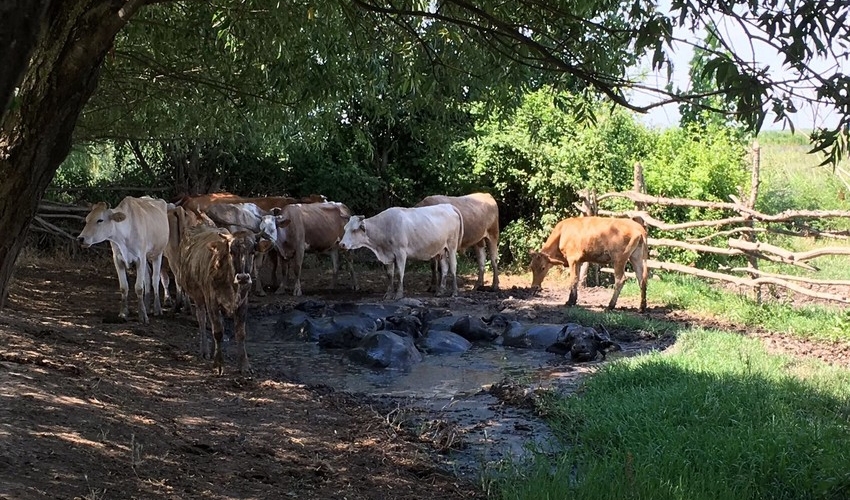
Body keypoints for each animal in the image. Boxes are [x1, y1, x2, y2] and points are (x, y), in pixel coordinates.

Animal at [177, 226, 270, 376]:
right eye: (231, 252)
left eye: (252, 251)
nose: (243, 277)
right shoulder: (212, 302)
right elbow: (218, 332)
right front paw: (218, 365)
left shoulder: (243, 304)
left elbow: (240, 334)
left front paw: (244, 365)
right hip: (197, 295)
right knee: (201, 319)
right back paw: (205, 351)